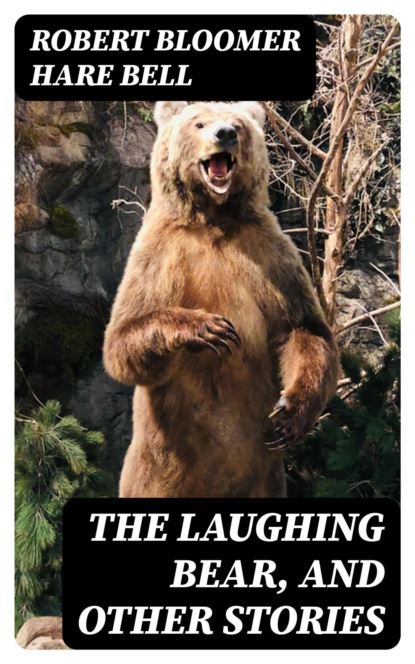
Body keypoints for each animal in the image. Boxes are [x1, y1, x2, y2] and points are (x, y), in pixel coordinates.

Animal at [103, 100, 339, 498]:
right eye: (199, 123)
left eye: (238, 125)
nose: (224, 134)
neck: (212, 219)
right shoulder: (157, 256)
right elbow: (123, 340)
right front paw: (209, 329)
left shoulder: (269, 253)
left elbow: (302, 328)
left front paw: (290, 414)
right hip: (156, 468)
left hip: (264, 477)